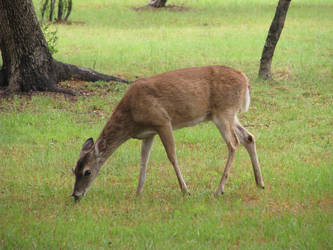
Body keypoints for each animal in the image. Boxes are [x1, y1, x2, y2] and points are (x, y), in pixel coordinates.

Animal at [71, 65, 264, 201]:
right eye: (74, 170)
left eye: (87, 172)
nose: (75, 195)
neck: (131, 118)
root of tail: (245, 80)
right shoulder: (148, 133)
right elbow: (143, 161)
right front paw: (138, 193)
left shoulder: (162, 121)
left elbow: (172, 156)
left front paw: (186, 191)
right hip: (230, 114)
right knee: (248, 137)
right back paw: (259, 183)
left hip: (224, 111)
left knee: (233, 144)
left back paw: (219, 190)